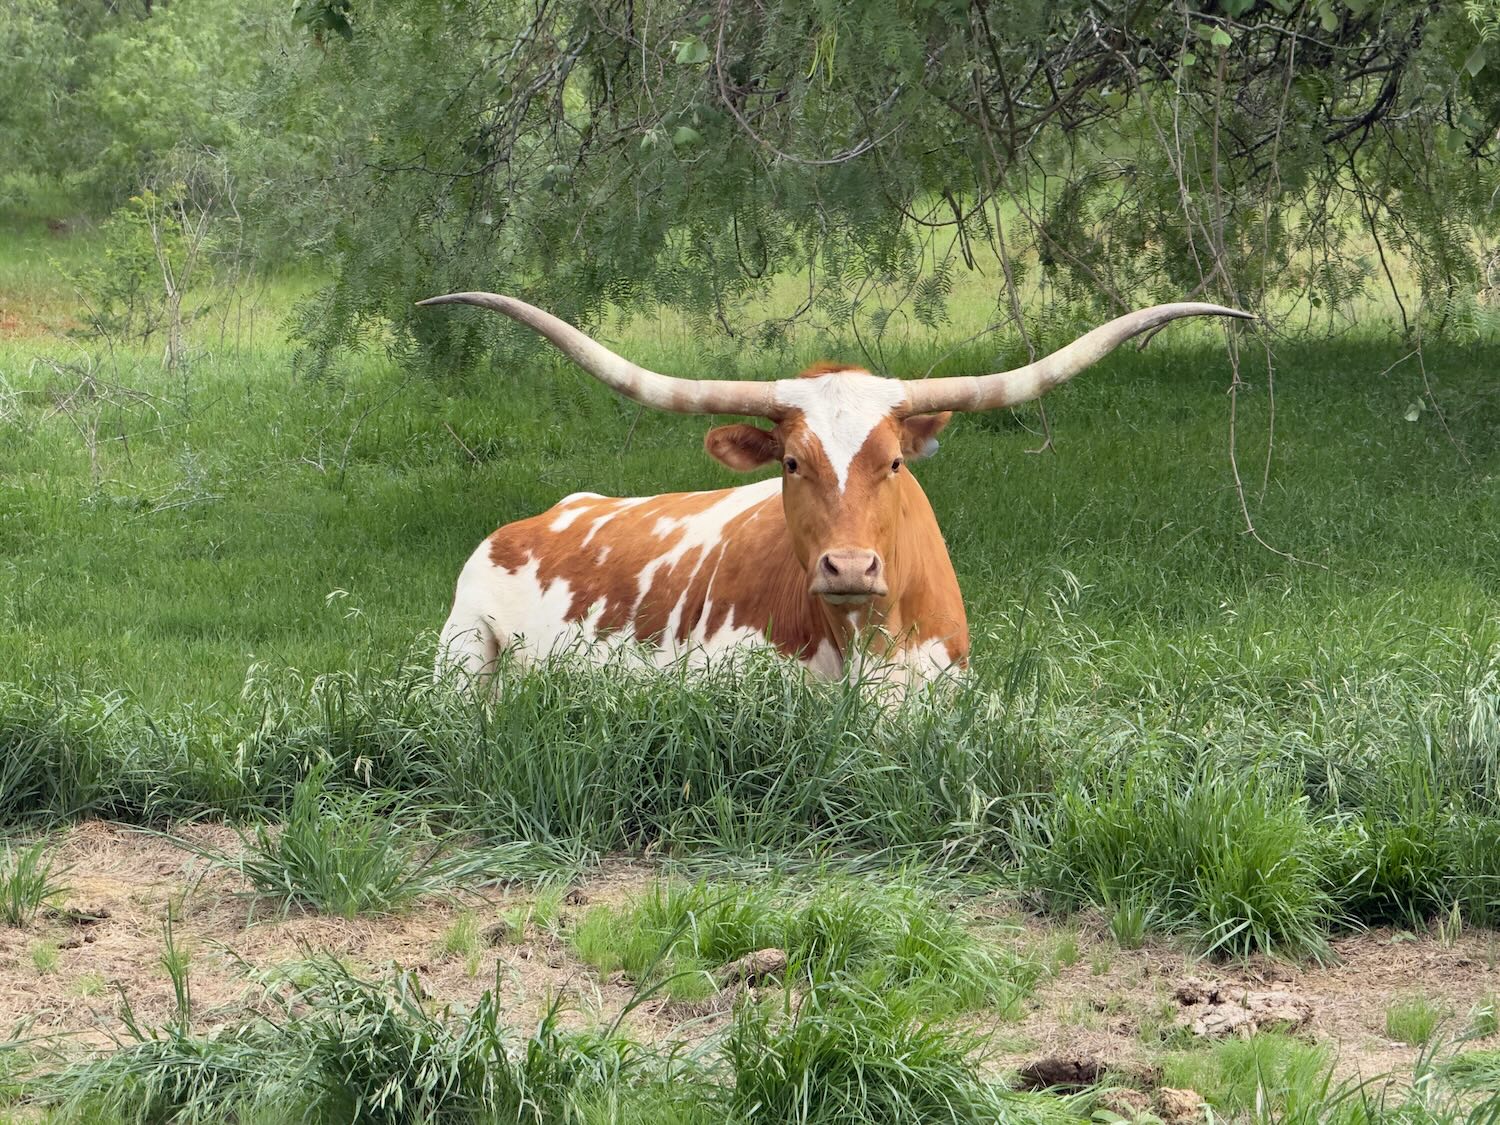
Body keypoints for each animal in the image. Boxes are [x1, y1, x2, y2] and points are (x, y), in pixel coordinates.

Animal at [421, 293, 1251, 687]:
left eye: (894, 463)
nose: (849, 567)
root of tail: (540, 517)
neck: (867, 645)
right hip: (460, 654)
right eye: (791, 462)